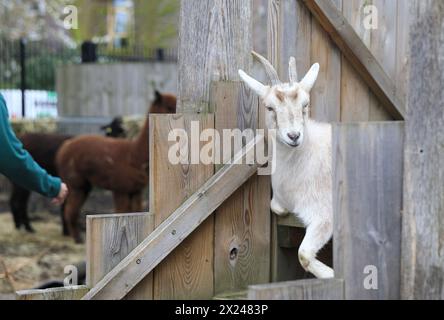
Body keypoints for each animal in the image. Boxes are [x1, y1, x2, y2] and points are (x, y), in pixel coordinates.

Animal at [239, 51, 332, 278]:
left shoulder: (324, 214)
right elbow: (275, 207)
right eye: (269, 107)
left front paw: (332, 274)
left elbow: (303, 254)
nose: (294, 136)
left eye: (305, 104)